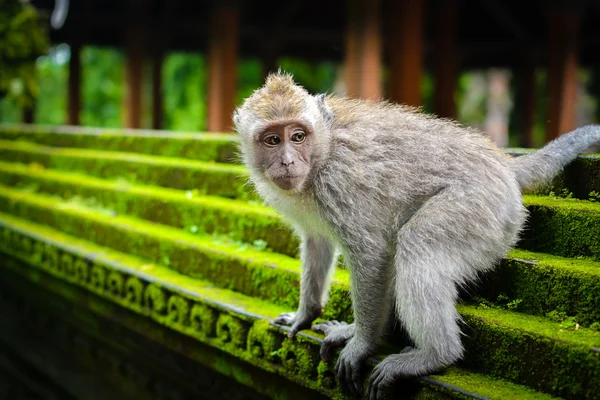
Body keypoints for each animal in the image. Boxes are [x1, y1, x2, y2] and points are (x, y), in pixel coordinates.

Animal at [233, 72, 600, 400]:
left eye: (298, 136)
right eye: (272, 139)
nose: (287, 162)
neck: (323, 151)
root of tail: (504, 164)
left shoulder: (339, 183)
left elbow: (372, 255)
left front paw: (361, 345)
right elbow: (316, 241)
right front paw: (306, 314)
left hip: (484, 208)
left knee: (418, 242)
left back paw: (436, 355)